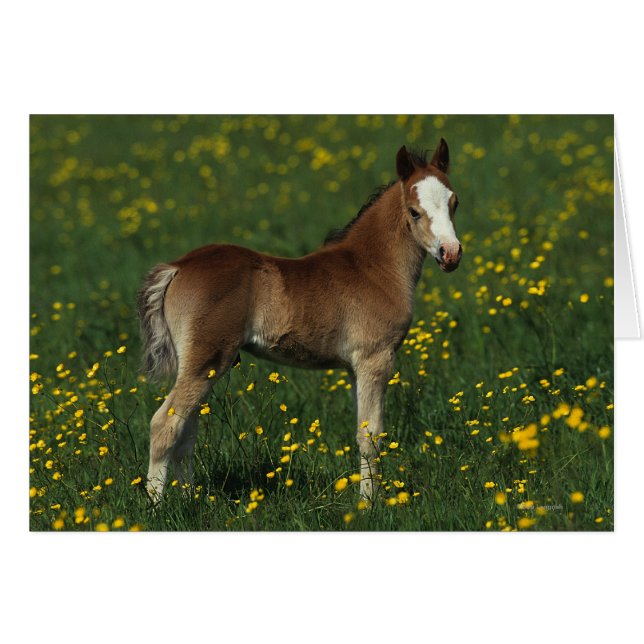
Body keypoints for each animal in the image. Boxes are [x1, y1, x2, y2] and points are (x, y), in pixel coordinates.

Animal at [138, 139, 462, 500]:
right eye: (414, 211)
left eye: (454, 203)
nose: (451, 254)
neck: (373, 268)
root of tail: (177, 266)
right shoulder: (375, 359)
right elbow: (371, 437)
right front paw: (369, 503)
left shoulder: (354, 368)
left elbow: (362, 430)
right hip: (207, 359)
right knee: (165, 424)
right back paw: (158, 505)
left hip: (202, 365)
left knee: (187, 431)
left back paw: (189, 499)